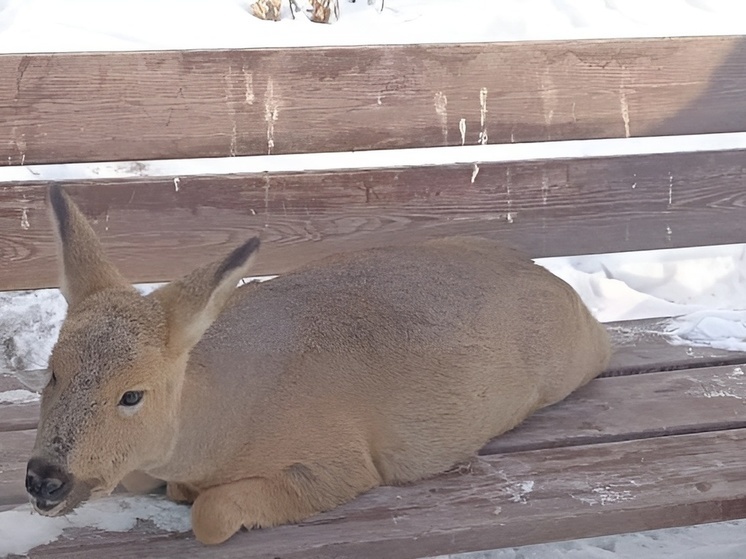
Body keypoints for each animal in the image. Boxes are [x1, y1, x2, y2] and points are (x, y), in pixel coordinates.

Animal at [26, 186, 612, 544]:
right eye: (51, 372)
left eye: (132, 394)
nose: (43, 479)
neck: (217, 424)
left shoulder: (340, 463)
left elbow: (210, 515)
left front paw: (191, 497)